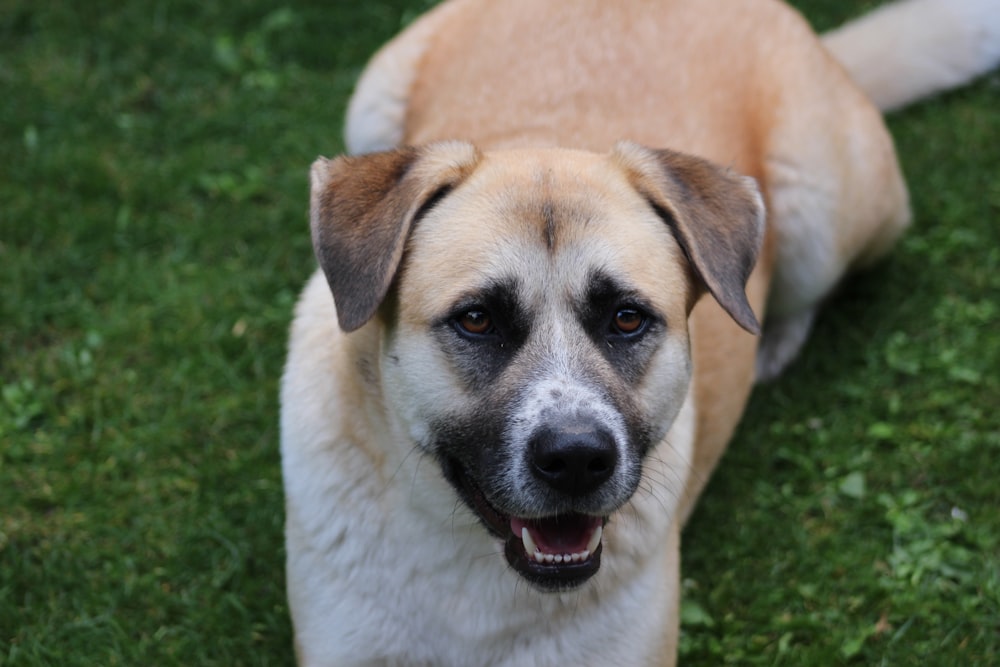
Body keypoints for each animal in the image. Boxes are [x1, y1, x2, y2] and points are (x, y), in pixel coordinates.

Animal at [280, 2, 1000, 664]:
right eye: (476, 319)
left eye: (627, 318)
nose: (576, 459)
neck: (478, 567)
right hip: (371, 100)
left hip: (817, 208)